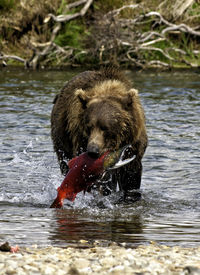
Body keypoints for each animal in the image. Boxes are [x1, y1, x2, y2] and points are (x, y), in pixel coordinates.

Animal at [50, 68, 148, 202]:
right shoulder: (81, 140)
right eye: (89, 127)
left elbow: (130, 175)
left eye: (105, 127)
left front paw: (130, 196)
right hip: (62, 136)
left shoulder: (133, 145)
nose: (93, 151)